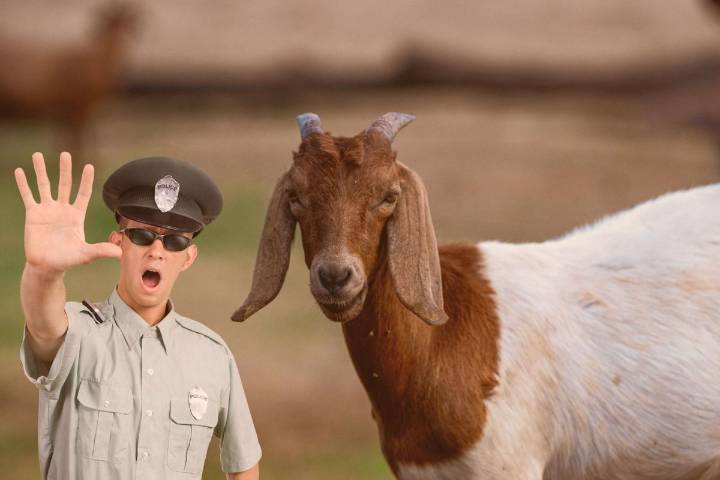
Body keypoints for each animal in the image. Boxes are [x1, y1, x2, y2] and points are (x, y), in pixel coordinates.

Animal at [0, 4, 138, 157]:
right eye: (110, 25)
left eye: (128, 25)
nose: (122, 41)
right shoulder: (78, 105)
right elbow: (77, 142)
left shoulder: (75, 109)